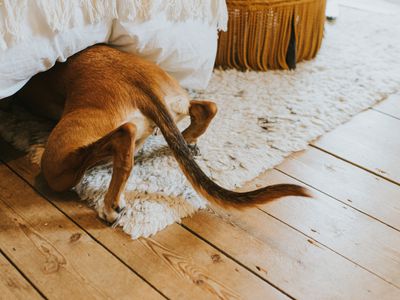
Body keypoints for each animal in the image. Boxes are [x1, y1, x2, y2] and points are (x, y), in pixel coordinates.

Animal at [15, 44, 310, 223]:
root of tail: (139, 83)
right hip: (176, 99)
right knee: (206, 109)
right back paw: (188, 141)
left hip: (56, 165)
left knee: (124, 136)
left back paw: (111, 205)